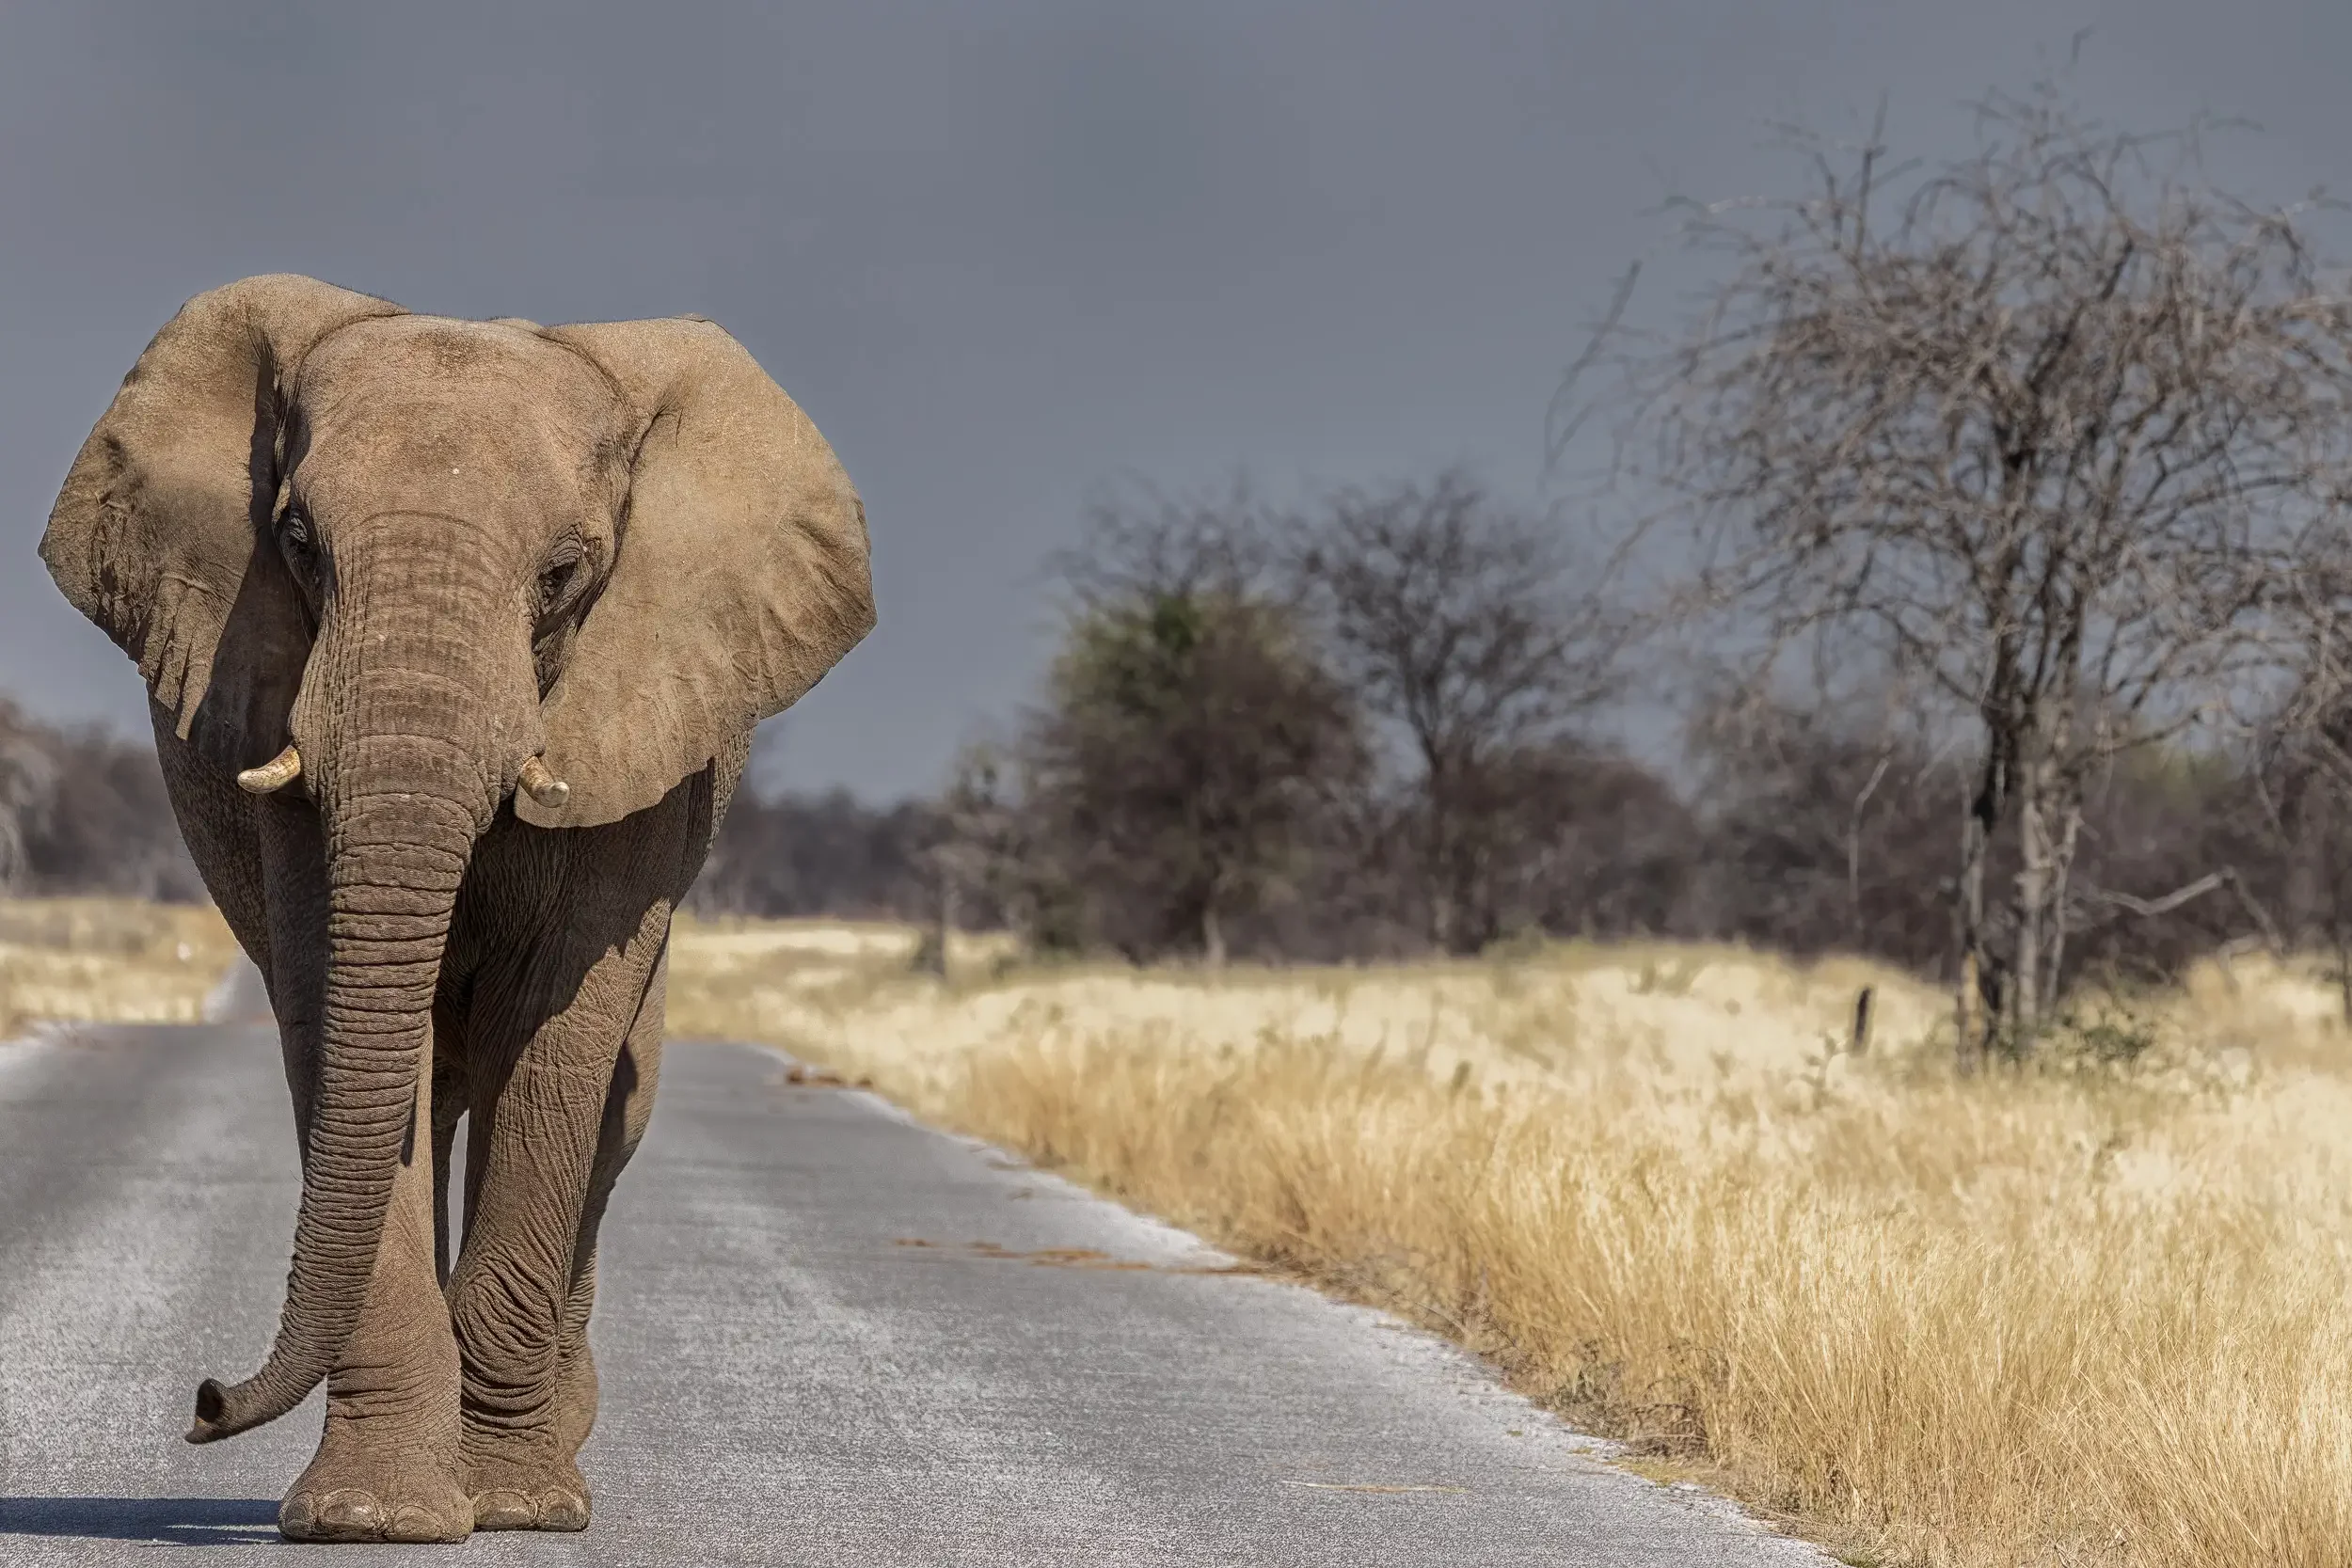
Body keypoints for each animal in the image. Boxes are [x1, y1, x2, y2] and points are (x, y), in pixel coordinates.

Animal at [37, 274, 874, 1542]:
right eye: (296, 543)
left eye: (564, 572)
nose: (203, 1399)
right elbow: (337, 1017)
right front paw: (371, 1516)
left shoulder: (638, 722)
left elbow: (559, 1031)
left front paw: (518, 1503)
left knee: (614, 1111)